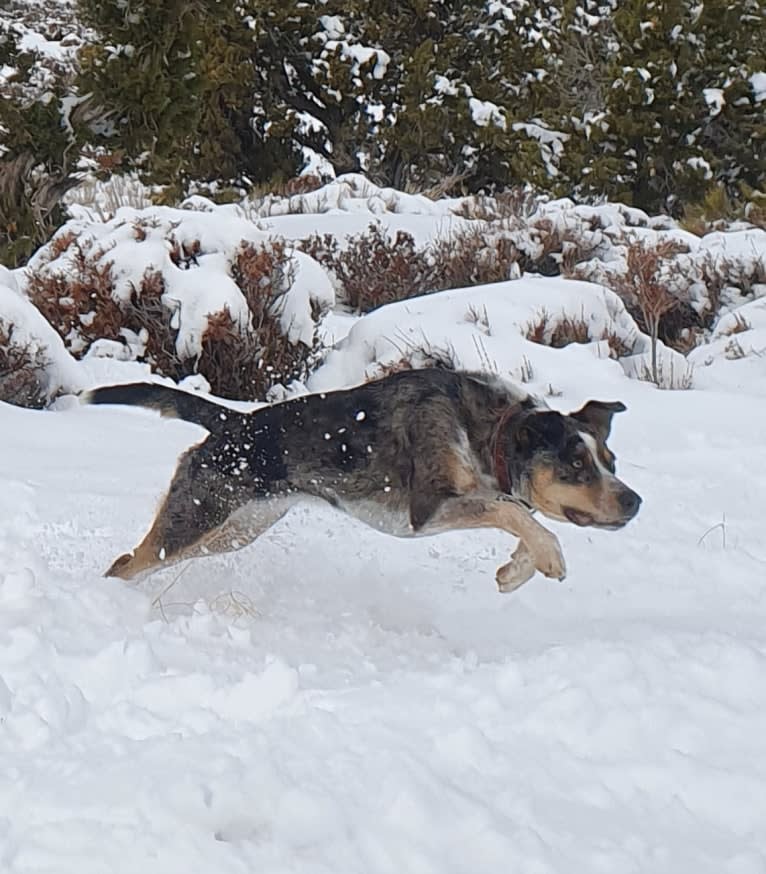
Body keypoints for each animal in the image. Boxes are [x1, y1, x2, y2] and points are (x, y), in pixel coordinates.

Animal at [84, 364, 640, 588]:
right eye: (576, 464)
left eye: (610, 461)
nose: (634, 501)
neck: (485, 430)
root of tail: (232, 423)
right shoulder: (427, 510)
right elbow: (514, 513)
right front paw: (548, 558)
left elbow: (521, 517)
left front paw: (517, 570)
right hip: (198, 517)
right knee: (128, 564)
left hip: (234, 529)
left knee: (129, 560)